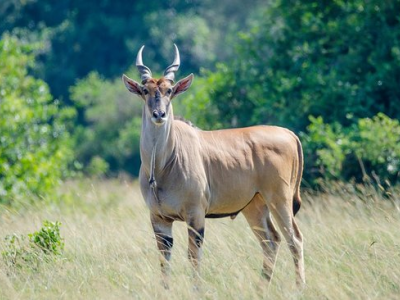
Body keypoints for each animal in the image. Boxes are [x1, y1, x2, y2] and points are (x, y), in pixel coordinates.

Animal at [123, 44, 304, 288]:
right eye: (145, 90)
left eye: (169, 90)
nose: (159, 114)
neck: (161, 167)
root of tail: (289, 134)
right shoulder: (159, 219)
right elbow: (164, 259)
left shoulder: (195, 214)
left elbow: (193, 255)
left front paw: (197, 290)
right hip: (255, 207)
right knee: (271, 241)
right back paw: (261, 288)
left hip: (280, 200)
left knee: (294, 239)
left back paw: (299, 288)